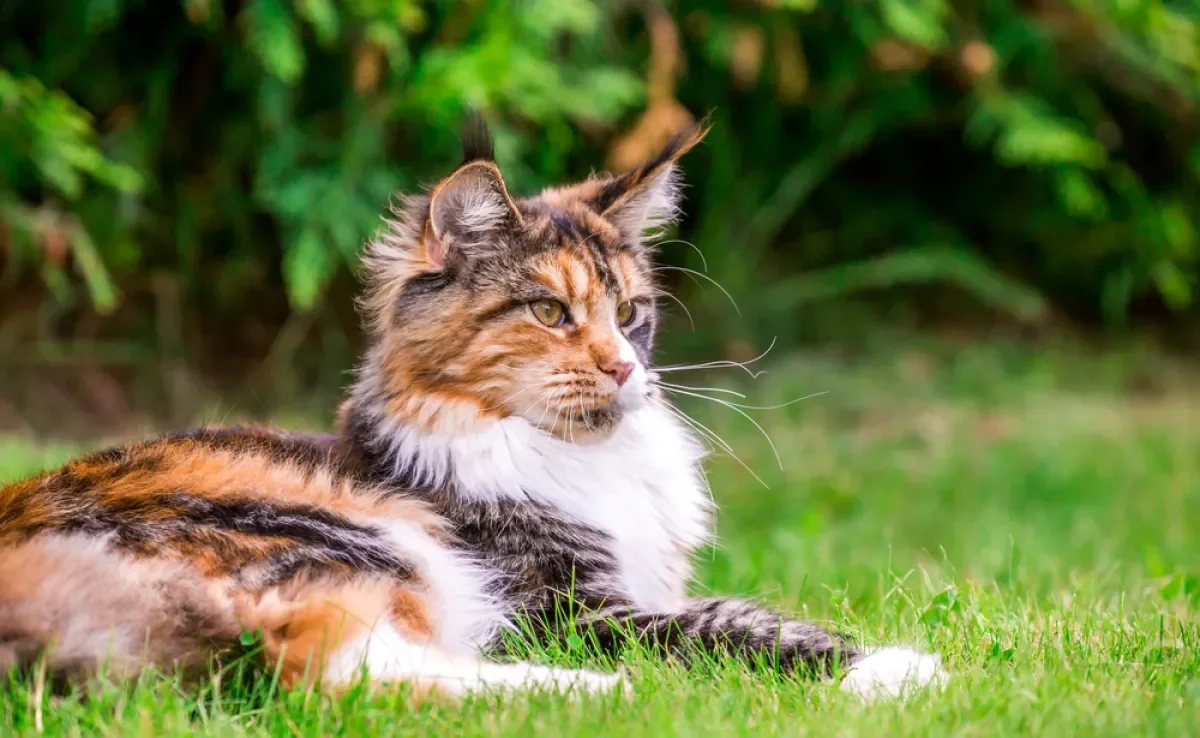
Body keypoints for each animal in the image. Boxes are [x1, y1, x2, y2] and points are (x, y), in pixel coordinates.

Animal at [0, 115, 940, 700]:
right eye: (550, 312)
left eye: (631, 311)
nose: (625, 368)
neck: (584, 459)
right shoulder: (562, 609)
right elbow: (730, 623)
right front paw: (893, 669)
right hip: (356, 539)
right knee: (324, 667)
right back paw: (602, 695)